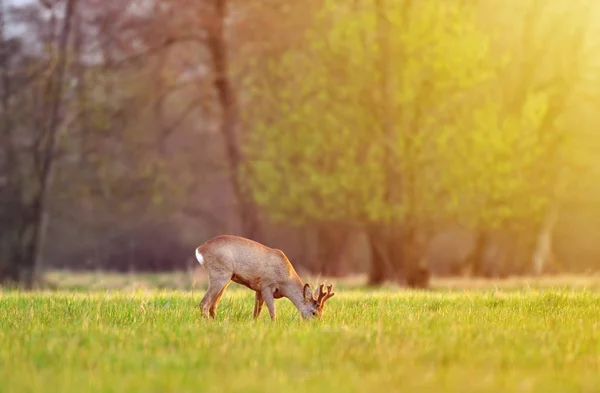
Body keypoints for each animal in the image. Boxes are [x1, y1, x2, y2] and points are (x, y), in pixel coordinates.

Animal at [193, 234, 332, 320]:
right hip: (219, 274)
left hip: (227, 278)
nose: (316, 325)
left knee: (213, 306)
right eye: (314, 312)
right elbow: (273, 312)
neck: (285, 282)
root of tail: (199, 249)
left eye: (322, 313)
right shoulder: (266, 285)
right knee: (204, 304)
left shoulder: (258, 289)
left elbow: (256, 313)